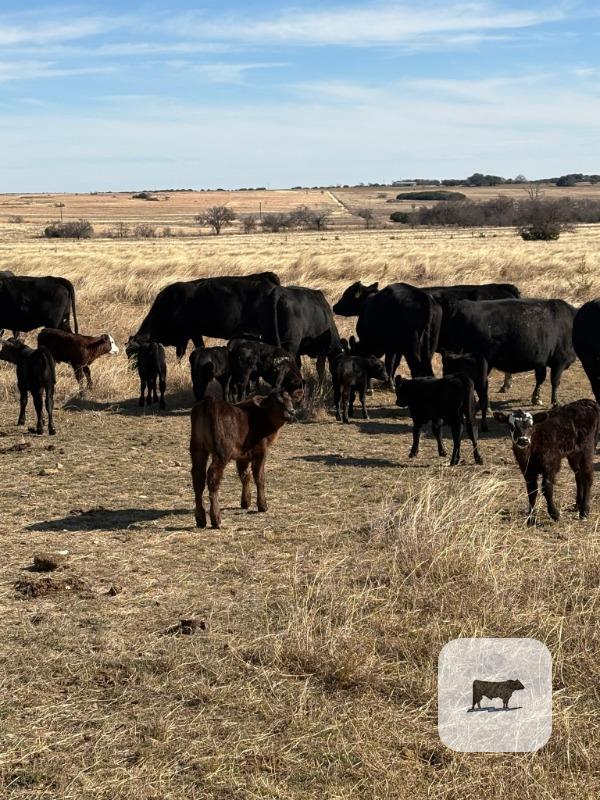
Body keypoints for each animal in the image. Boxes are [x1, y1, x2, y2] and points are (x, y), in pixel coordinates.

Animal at [190, 389, 296, 528]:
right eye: (276, 401)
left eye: (290, 399)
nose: (291, 411)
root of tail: (210, 401)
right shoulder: (260, 452)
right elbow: (259, 478)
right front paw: (262, 506)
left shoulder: (242, 456)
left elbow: (245, 476)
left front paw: (245, 502)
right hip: (221, 453)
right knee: (212, 477)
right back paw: (216, 518)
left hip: (197, 448)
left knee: (198, 477)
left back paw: (200, 519)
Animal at [439, 298, 576, 406]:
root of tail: (459, 305)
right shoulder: (560, 360)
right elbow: (555, 381)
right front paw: (555, 402)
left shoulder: (541, 361)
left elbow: (540, 379)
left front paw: (536, 398)